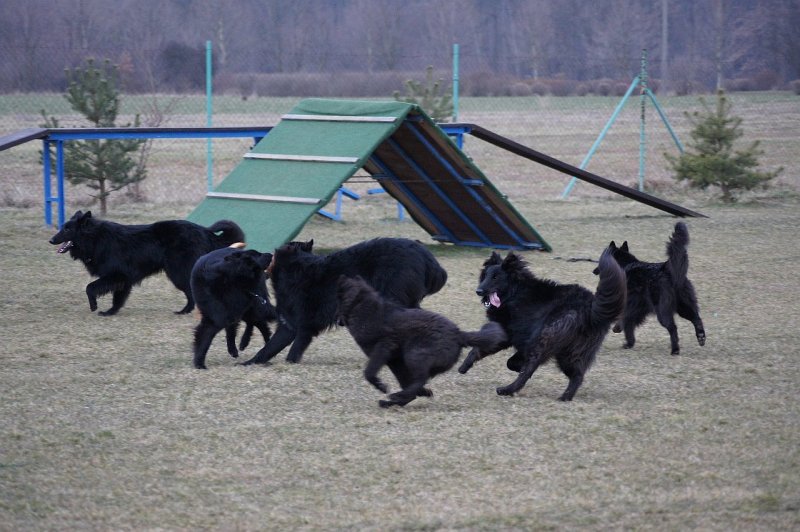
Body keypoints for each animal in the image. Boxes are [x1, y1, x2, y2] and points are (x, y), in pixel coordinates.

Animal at [48, 209, 245, 316]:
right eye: (62, 227)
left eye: (67, 229)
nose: (51, 240)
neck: (95, 238)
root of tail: (204, 231)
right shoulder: (123, 280)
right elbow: (117, 298)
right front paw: (111, 312)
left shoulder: (116, 275)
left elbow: (90, 287)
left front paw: (95, 306)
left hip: (178, 273)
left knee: (192, 292)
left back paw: (187, 311)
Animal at [241, 238, 446, 366]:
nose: (266, 254)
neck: (297, 268)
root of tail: (426, 256)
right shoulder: (288, 325)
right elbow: (267, 349)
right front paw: (248, 363)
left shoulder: (304, 326)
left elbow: (293, 350)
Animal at [338, 274, 506, 408]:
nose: (338, 321)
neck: (362, 306)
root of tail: (458, 334)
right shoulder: (395, 361)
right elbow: (403, 380)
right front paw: (421, 393)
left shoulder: (384, 347)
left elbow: (369, 372)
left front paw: (381, 386)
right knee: (416, 385)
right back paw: (393, 401)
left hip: (414, 355)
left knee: (420, 380)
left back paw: (397, 396)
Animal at [456, 247, 624, 402]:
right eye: (485, 276)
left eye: (496, 278)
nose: (478, 291)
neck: (514, 293)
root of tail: (590, 308)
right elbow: (480, 350)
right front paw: (464, 367)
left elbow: (500, 356)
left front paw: (517, 365)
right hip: (571, 353)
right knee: (577, 375)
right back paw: (565, 397)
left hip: (545, 338)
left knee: (530, 369)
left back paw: (507, 389)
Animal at [596, 222, 704, 356]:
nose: (594, 270)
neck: (624, 265)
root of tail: (666, 269)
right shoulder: (638, 307)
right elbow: (628, 322)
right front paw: (629, 342)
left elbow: (626, 320)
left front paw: (623, 335)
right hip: (684, 306)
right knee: (696, 318)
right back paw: (701, 337)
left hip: (662, 311)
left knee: (673, 328)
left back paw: (675, 350)